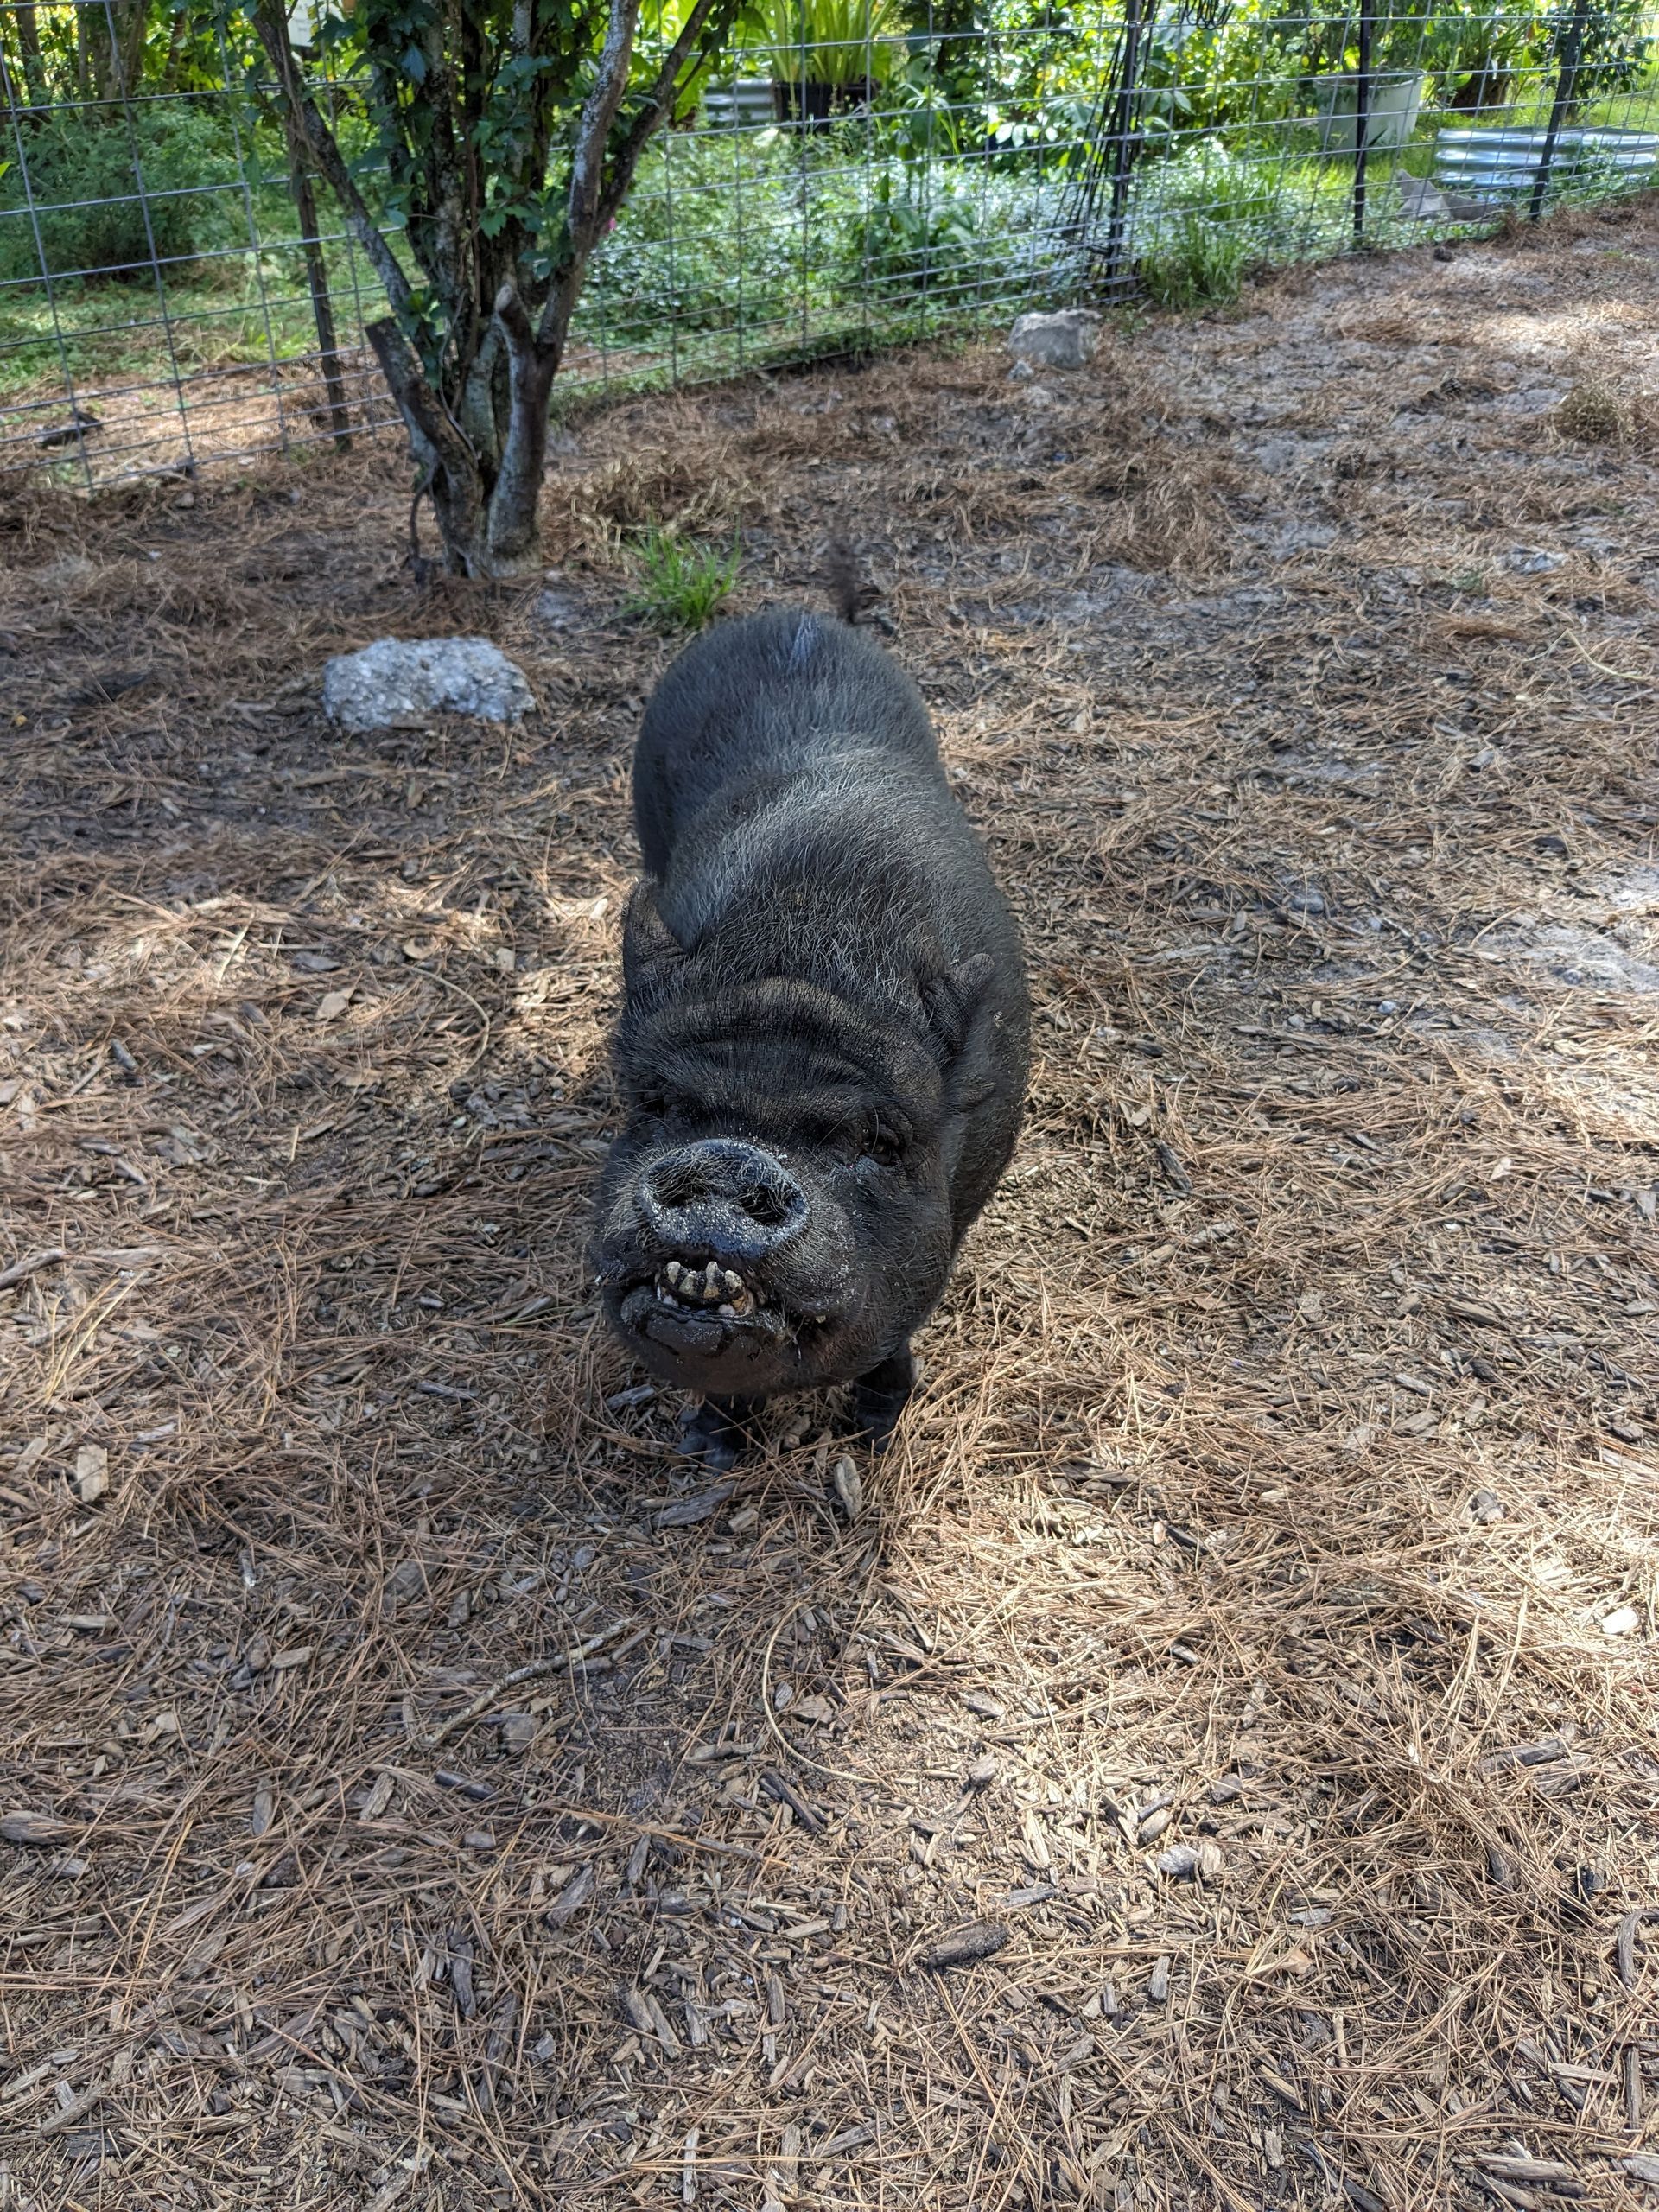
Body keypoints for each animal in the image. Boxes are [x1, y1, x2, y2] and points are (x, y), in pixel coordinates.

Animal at [588, 568, 1029, 1470]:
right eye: (660, 1105)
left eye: (882, 1143)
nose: (727, 1161)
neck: (800, 975)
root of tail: (799, 619)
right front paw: (713, 1451)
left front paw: (873, 1428)